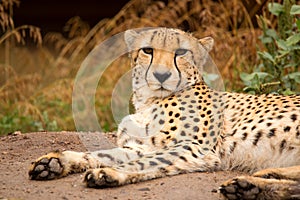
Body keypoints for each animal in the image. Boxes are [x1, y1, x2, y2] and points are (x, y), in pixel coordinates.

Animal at [28, 27, 300, 199]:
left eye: (181, 53)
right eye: (148, 50)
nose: (161, 75)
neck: (148, 100)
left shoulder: (194, 148)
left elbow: (145, 162)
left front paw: (110, 173)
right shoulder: (142, 146)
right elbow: (102, 154)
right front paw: (56, 161)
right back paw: (250, 186)